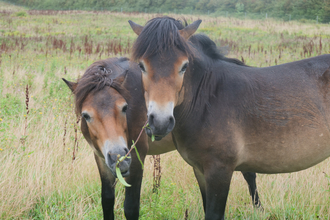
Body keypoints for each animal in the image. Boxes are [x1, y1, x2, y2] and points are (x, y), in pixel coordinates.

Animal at [62, 56, 260, 218]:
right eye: (86, 115)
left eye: (124, 108)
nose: (120, 157)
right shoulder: (101, 158)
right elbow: (107, 201)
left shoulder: (137, 157)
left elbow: (131, 207)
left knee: (249, 174)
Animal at [130, 16, 330, 219]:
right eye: (141, 66)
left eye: (184, 66)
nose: (160, 122)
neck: (208, 98)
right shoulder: (200, 170)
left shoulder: (220, 171)